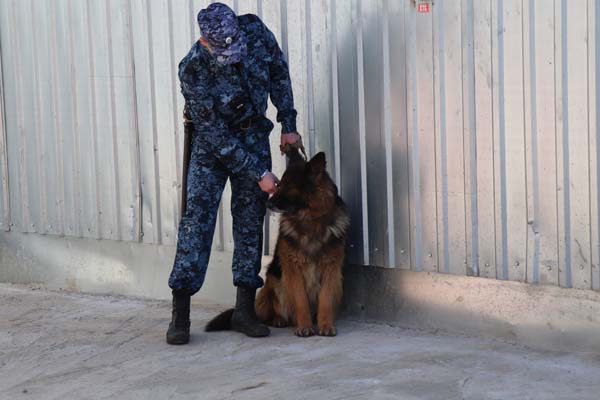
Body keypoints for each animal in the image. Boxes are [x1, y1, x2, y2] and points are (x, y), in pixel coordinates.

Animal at [205, 148, 350, 336]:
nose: (267, 203)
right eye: (279, 185)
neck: (309, 220)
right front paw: (304, 327)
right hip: (275, 282)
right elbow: (300, 300)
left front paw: (325, 325)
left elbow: (325, 300)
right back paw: (278, 319)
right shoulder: (293, 269)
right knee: (271, 311)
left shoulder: (331, 269)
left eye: (289, 187)